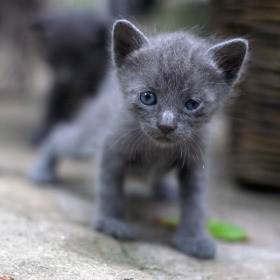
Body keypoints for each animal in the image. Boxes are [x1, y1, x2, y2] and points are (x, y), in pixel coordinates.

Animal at [29, 20, 247, 260]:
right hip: (86, 137)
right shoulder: (110, 148)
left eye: (192, 104)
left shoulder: (196, 163)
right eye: (148, 97)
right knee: (59, 133)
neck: (158, 148)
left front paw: (194, 239)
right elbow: (110, 188)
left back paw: (163, 189)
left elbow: (196, 203)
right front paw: (111, 222)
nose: (166, 125)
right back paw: (42, 171)